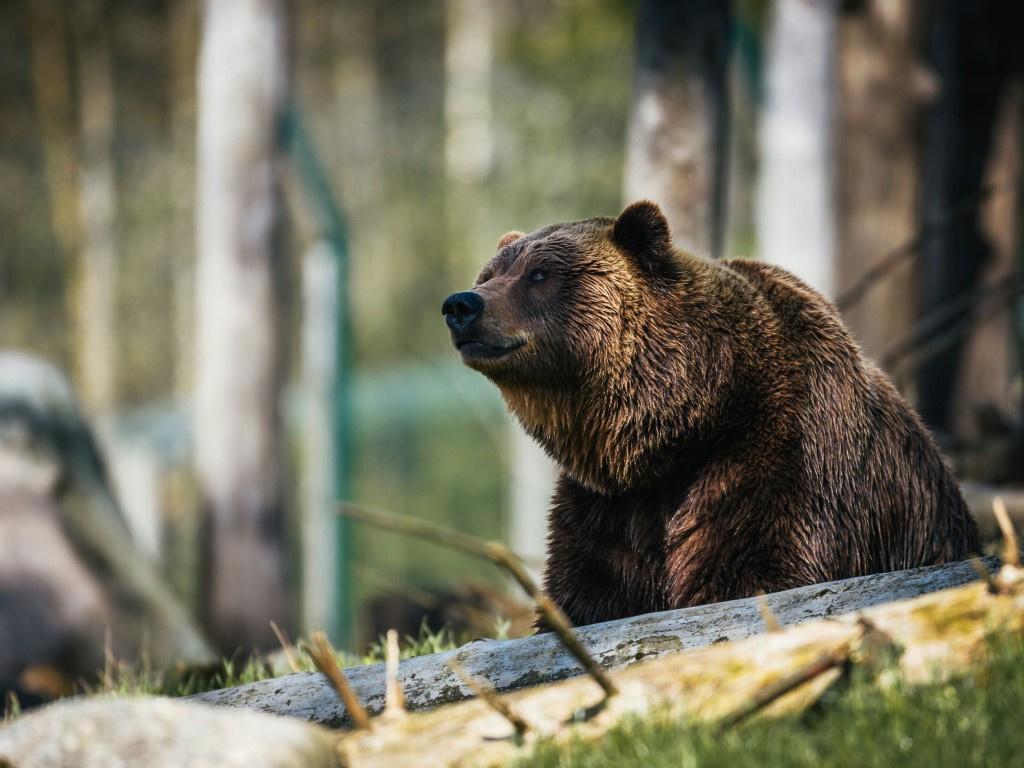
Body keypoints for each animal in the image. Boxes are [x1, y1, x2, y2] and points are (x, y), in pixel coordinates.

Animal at [442, 201, 983, 626]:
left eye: (540, 274)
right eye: (489, 275)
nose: (461, 304)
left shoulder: (779, 459)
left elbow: (753, 572)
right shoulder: (607, 507)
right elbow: (588, 593)